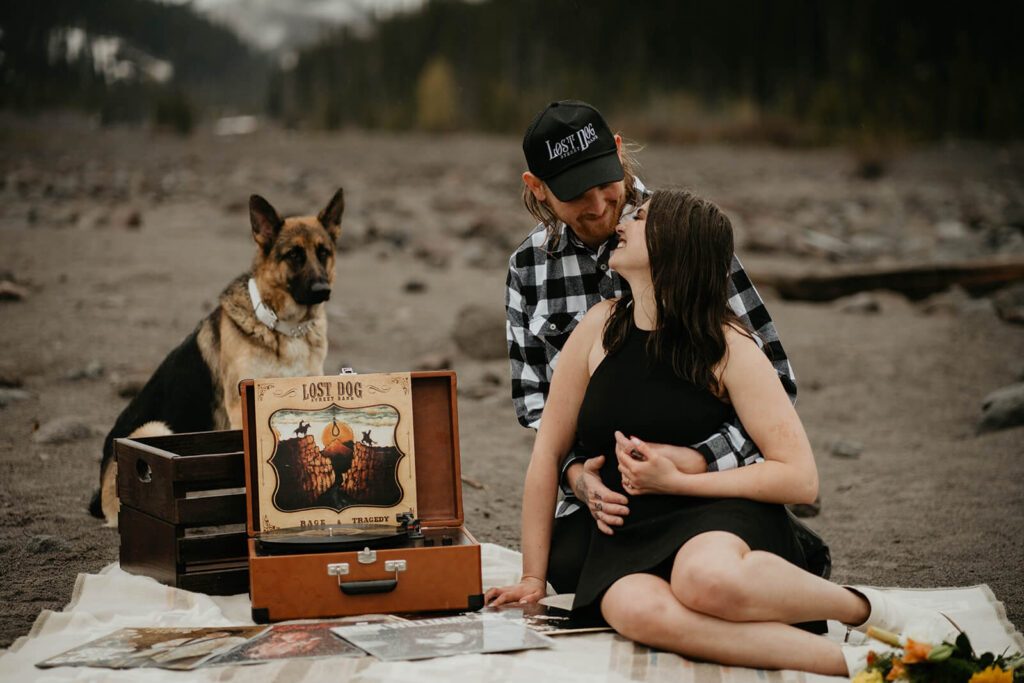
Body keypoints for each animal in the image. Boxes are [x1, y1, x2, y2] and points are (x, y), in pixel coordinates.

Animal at [89, 189, 344, 528]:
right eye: (294, 255)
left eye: (323, 252)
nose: (321, 289)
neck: (285, 330)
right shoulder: (240, 408)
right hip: (155, 429)